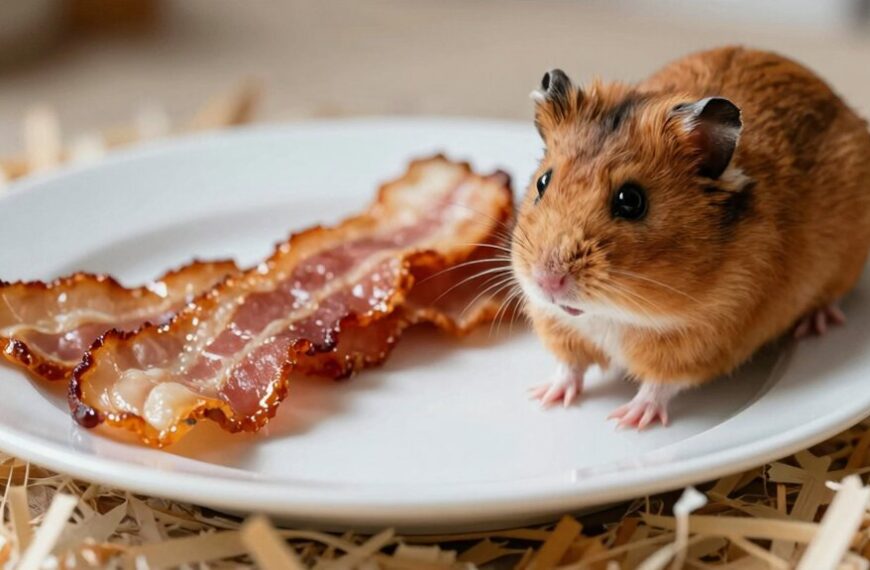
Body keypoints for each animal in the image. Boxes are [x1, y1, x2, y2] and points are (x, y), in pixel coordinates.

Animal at [511, 46, 870, 429]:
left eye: (631, 200)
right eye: (543, 182)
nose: (546, 281)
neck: (611, 314)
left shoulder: (698, 345)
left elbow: (658, 385)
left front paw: (627, 420)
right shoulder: (561, 327)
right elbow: (570, 366)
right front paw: (546, 398)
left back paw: (817, 322)